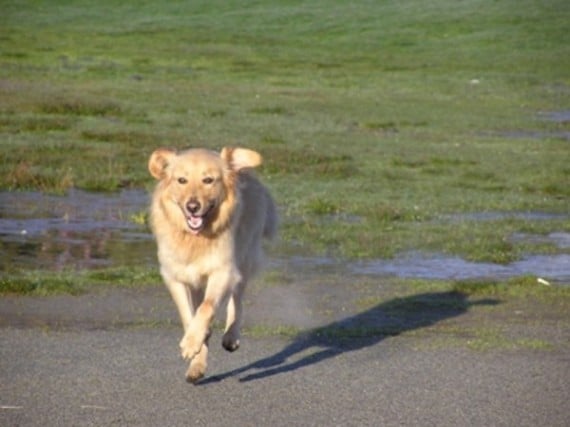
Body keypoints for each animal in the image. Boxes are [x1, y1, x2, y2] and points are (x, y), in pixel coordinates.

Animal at [148, 147, 276, 384]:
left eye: (208, 180)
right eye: (182, 180)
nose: (192, 207)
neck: (195, 238)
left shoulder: (222, 272)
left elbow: (207, 308)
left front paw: (192, 342)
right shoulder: (175, 277)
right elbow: (189, 316)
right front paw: (195, 348)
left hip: (244, 259)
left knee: (237, 300)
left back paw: (231, 336)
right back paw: (197, 363)